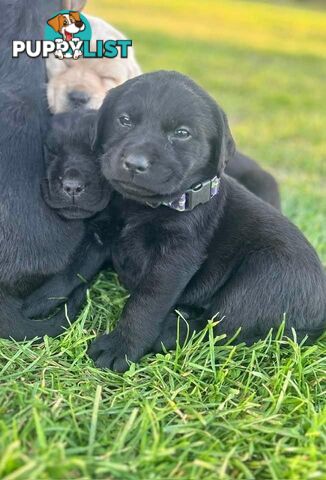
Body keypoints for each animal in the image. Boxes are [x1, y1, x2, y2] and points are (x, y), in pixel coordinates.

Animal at [83, 71, 324, 372]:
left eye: (182, 133)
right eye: (124, 120)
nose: (135, 163)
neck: (141, 206)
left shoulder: (175, 258)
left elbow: (146, 302)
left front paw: (122, 346)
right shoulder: (102, 234)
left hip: (266, 275)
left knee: (223, 325)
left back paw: (169, 331)